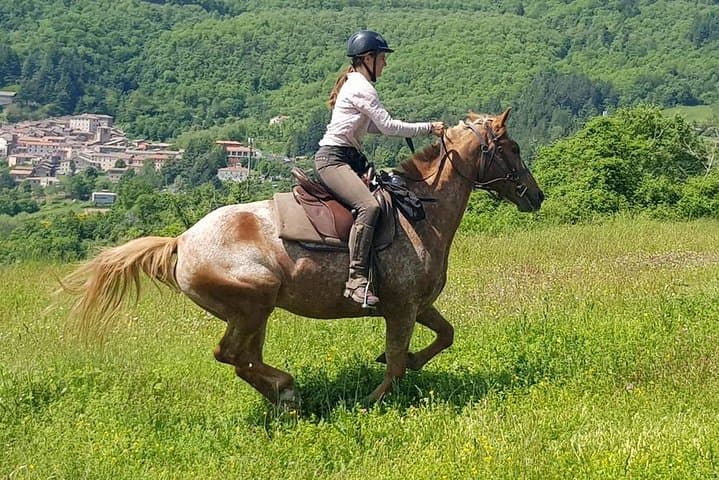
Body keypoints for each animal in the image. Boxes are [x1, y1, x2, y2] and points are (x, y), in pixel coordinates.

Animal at [62, 108, 544, 406]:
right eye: (513, 148)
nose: (535, 196)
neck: (420, 213)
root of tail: (182, 241)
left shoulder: (418, 306)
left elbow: (444, 337)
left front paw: (405, 364)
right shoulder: (401, 309)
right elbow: (394, 362)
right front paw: (371, 400)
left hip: (255, 313)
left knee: (243, 359)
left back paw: (284, 396)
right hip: (253, 304)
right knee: (230, 355)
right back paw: (287, 390)